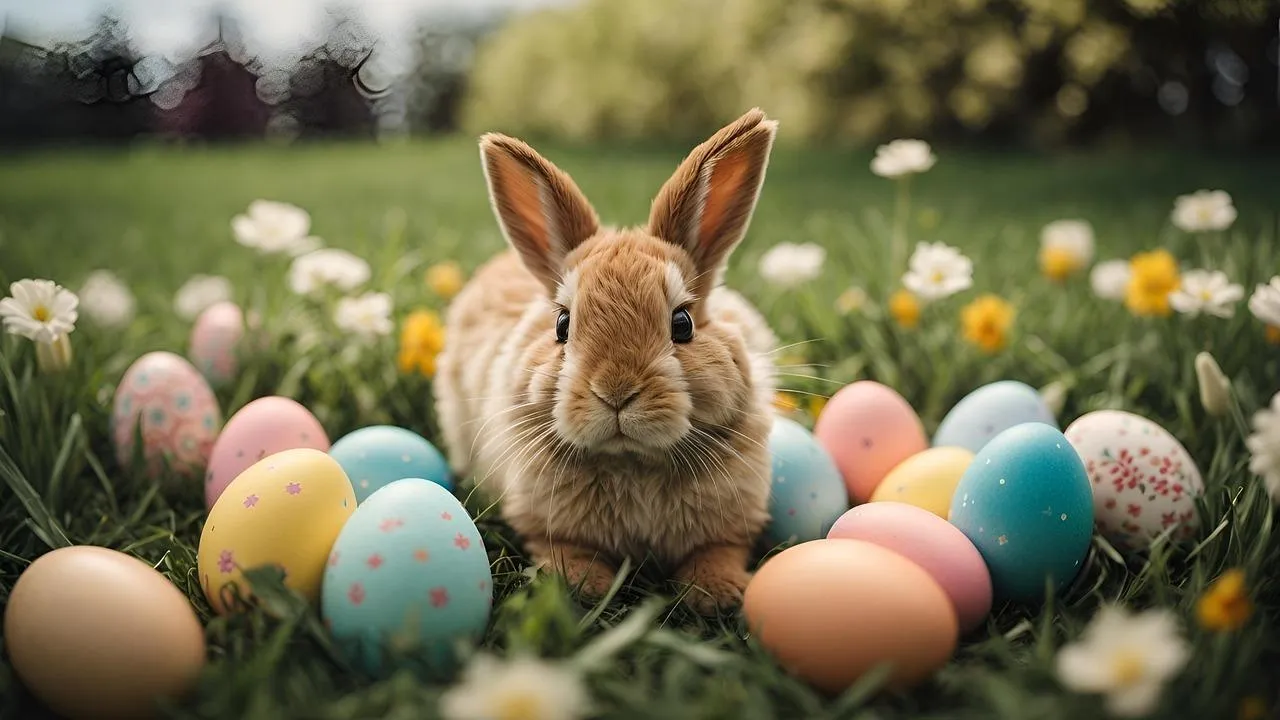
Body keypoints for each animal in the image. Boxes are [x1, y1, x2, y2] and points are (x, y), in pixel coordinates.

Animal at [434, 109, 780, 615]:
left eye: (682, 323)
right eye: (562, 324)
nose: (615, 392)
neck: (632, 461)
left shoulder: (731, 523)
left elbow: (717, 551)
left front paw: (718, 592)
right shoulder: (547, 526)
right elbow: (566, 551)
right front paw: (583, 587)